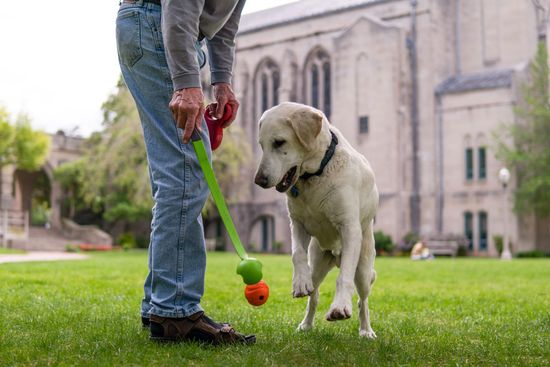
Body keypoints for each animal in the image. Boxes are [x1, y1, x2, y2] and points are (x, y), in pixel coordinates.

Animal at [256, 102, 380, 338]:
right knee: (314, 296)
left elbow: (344, 279)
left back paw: (366, 330)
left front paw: (340, 307)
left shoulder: (349, 229)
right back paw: (306, 324)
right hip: (318, 262)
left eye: (279, 142)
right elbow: (296, 253)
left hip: (363, 268)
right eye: (261, 145)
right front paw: (299, 283)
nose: (259, 180)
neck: (315, 175)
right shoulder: (297, 224)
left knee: (363, 300)